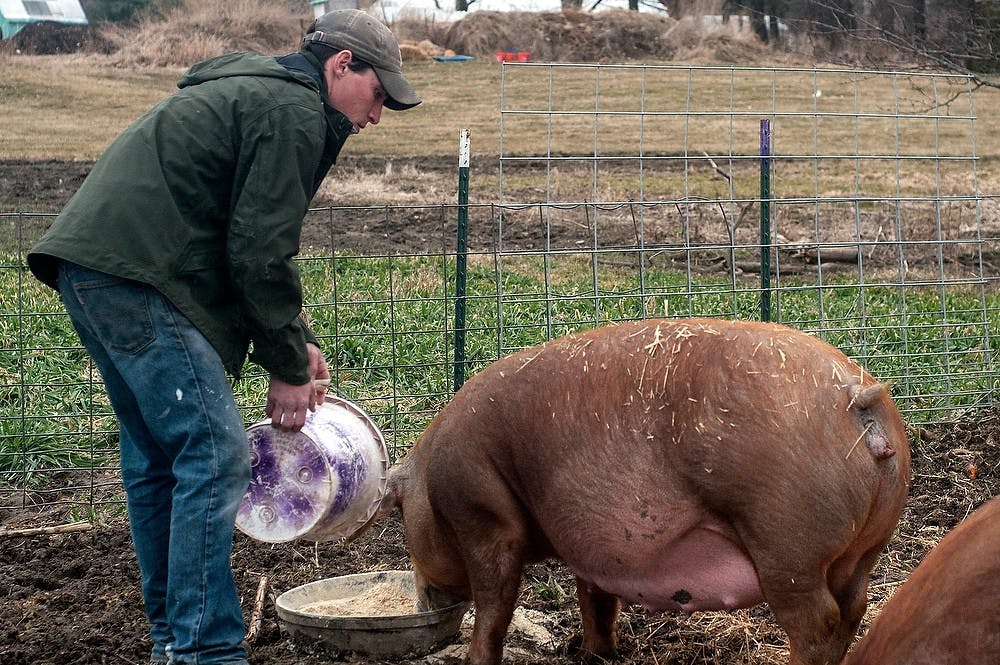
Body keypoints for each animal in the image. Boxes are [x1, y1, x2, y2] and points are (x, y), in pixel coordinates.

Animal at [378, 318, 912, 664]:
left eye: (401, 514)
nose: (424, 600)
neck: (433, 479)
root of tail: (857, 396)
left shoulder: (482, 515)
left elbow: (494, 602)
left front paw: (475, 658)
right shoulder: (589, 547)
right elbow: (594, 599)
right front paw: (593, 654)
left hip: (786, 542)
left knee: (818, 622)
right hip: (863, 548)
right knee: (853, 608)